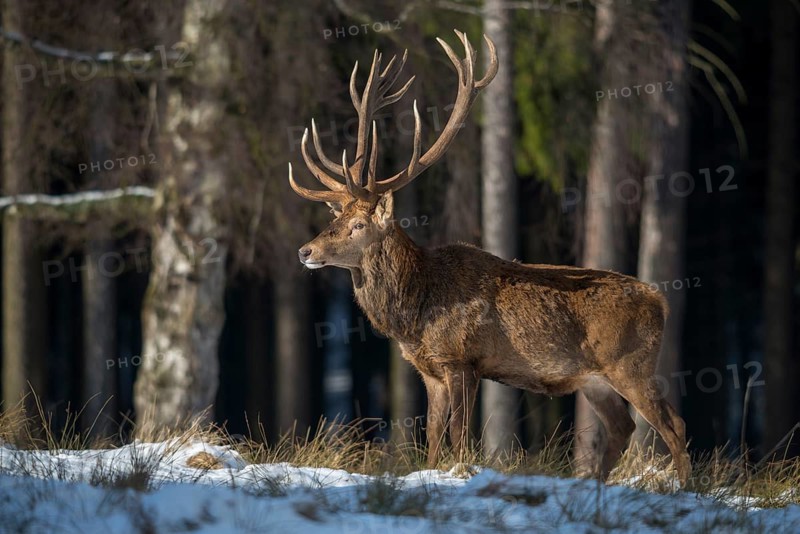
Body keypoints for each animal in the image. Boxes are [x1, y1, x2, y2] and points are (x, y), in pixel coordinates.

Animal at [288, 30, 691, 484]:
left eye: (358, 225)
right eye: (335, 217)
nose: (305, 251)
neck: (415, 313)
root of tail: (661, 301)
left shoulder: (462, 359)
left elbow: (460, 438)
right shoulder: (430, 370)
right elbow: (432, 440)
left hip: (632, 363)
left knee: (674, 424)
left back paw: (685, 487)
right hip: (594, 380)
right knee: (623, 427)